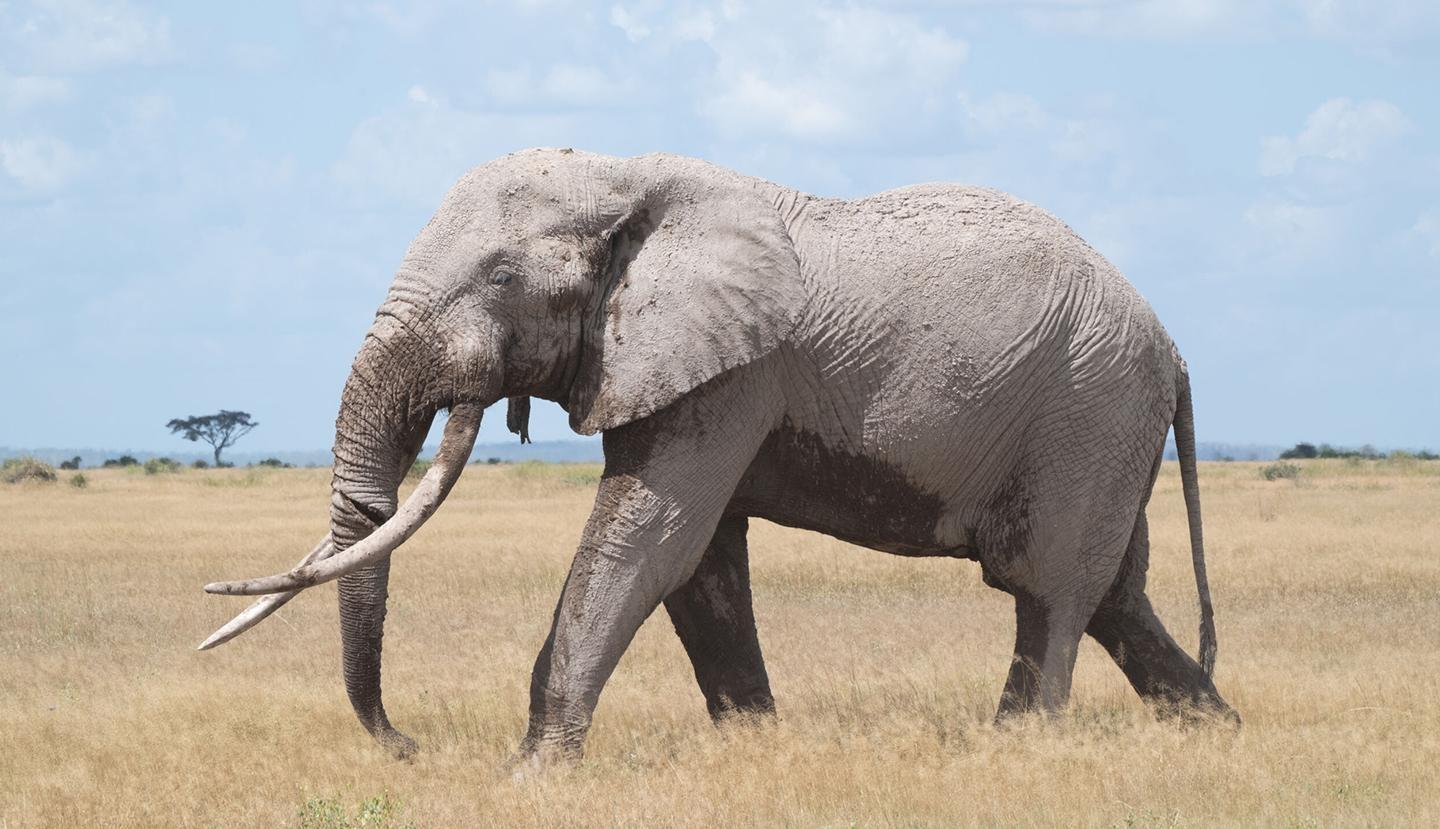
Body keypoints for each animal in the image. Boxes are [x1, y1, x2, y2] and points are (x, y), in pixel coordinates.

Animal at [200, 148, 1238, 762]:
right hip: (1102, 419)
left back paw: (1014, 752)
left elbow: (646, 538)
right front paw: (756, 753)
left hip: (1090, 405)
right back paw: (1216, 734)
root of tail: (1176, 346)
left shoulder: (735, 369)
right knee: (1116, 598)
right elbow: (696, 562)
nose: (409, 744)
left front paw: (536, 772)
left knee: (1049, 591)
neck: (624, 176)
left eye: (501, 279)